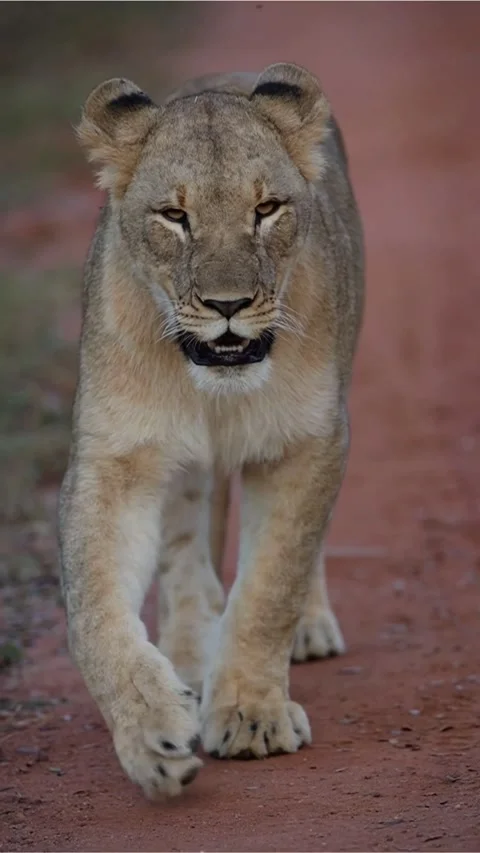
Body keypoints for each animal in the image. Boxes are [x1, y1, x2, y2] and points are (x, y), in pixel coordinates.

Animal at [58, 63, 364, 799]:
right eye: (175, 216)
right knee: (186, 547)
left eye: (267, 209)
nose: (228, 306)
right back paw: (189, 655)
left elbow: (271, 584)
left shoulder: (310, 441)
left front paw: (252, 714)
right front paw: (151, 734)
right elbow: (94, 611)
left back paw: (308, 629)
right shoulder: (115, 458)